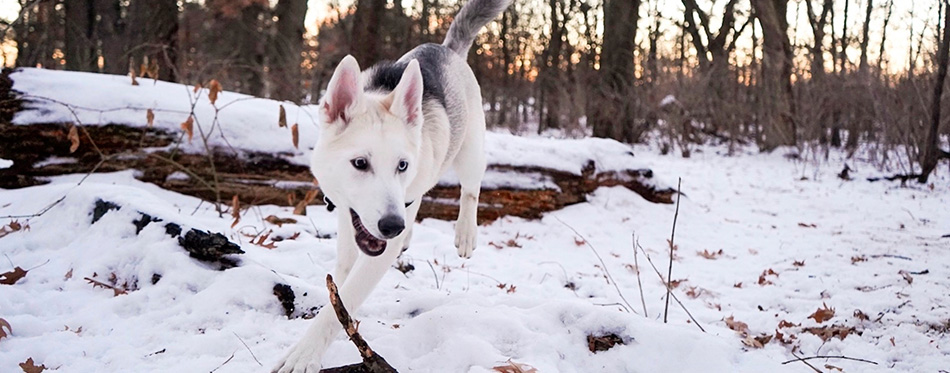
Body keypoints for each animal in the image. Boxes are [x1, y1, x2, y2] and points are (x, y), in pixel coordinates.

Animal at [274, 1, 512, 370]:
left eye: (402, 165)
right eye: (360, 163)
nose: (391, 226)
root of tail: (446, 48)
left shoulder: (379, 247)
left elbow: (341, 304)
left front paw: (304, 353)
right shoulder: (349, 224)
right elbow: (339, 285)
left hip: (470, 152)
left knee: (470, 190)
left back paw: (463, 232)